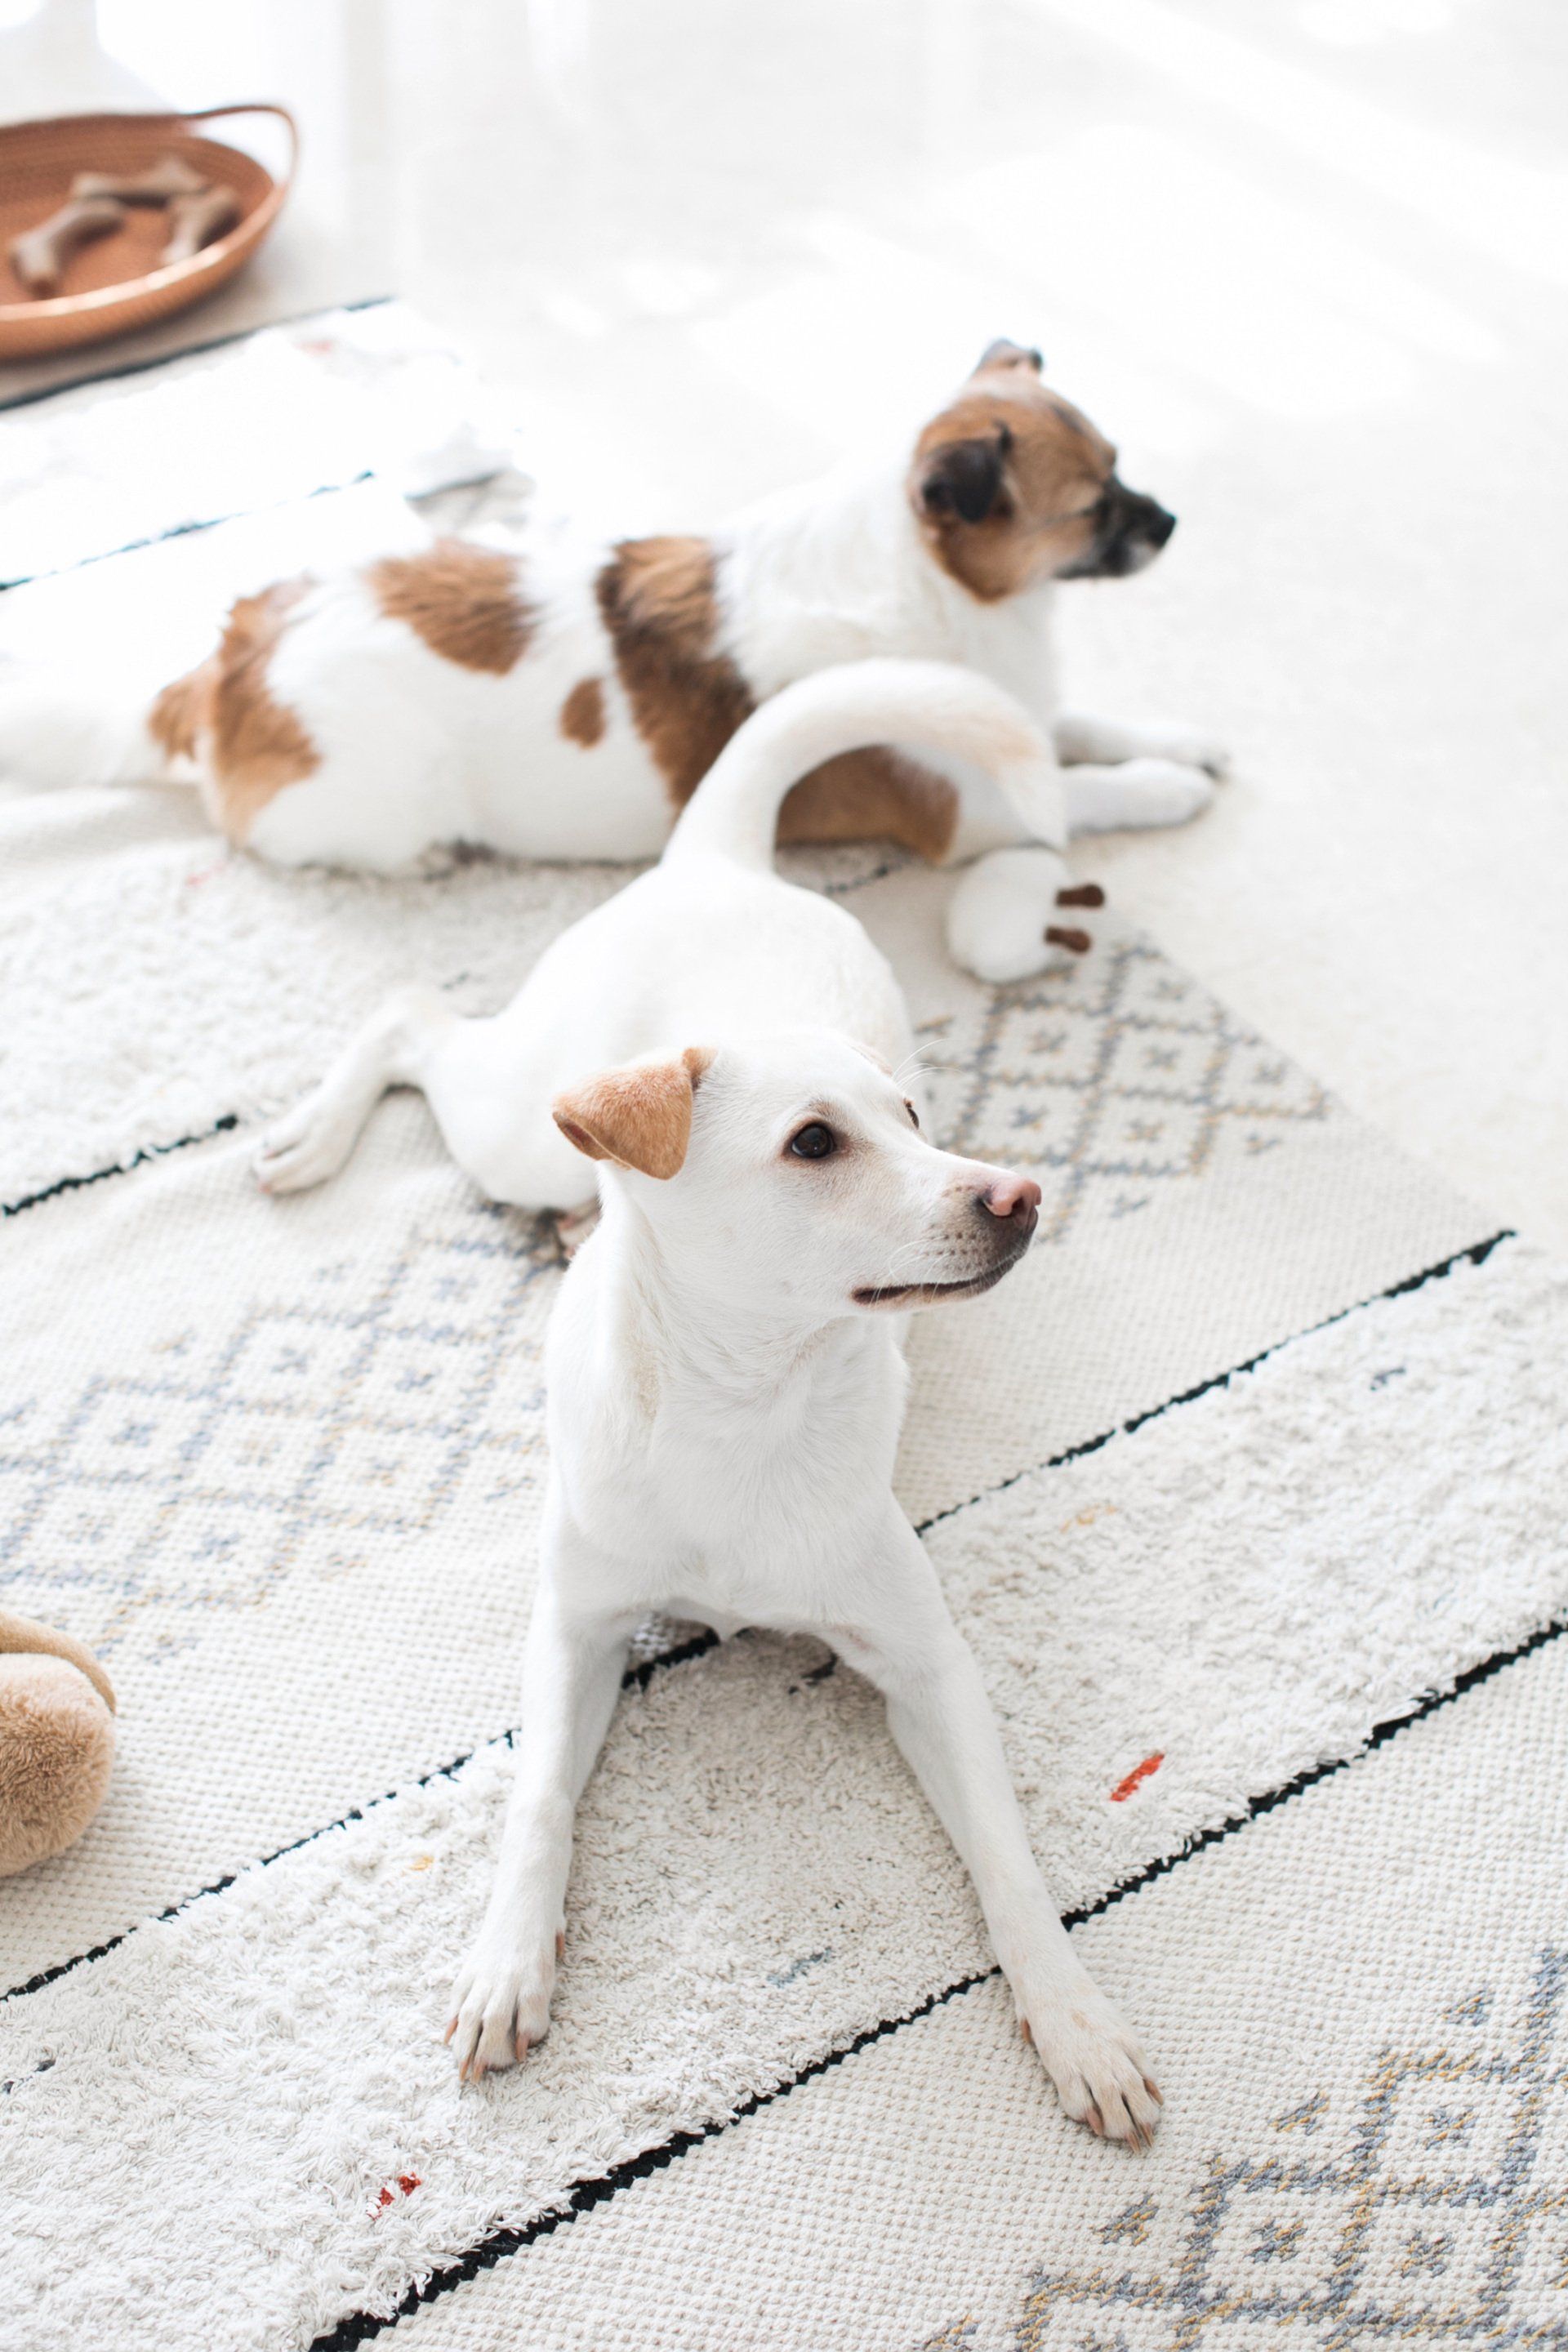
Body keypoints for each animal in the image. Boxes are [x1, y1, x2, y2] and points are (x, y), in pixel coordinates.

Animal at [0, 338, 1222, 982]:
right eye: (1092, 505)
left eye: (1123, 468)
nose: (1172, 523)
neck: (947, 591)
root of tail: (229, 660)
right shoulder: (969, 810)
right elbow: (1084, 789)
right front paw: (1167, 786)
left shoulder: (1021, 709)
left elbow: (1085, 725)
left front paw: (1179, 740)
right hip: (372, 807)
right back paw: (425, 861)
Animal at [257, 663, 1161, 2154]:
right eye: (815, 1143)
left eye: (914, 1119)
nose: (1021, 1194)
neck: (751, 1402)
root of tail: (720, 858)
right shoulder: (575, 1631)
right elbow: (535, 1802)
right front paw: (508, 1963)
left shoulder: (928, 1667)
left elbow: (1011, 1859)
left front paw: (1077, 2021)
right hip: (518, 1126)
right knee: (413, 1021)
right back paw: (315, 1139)